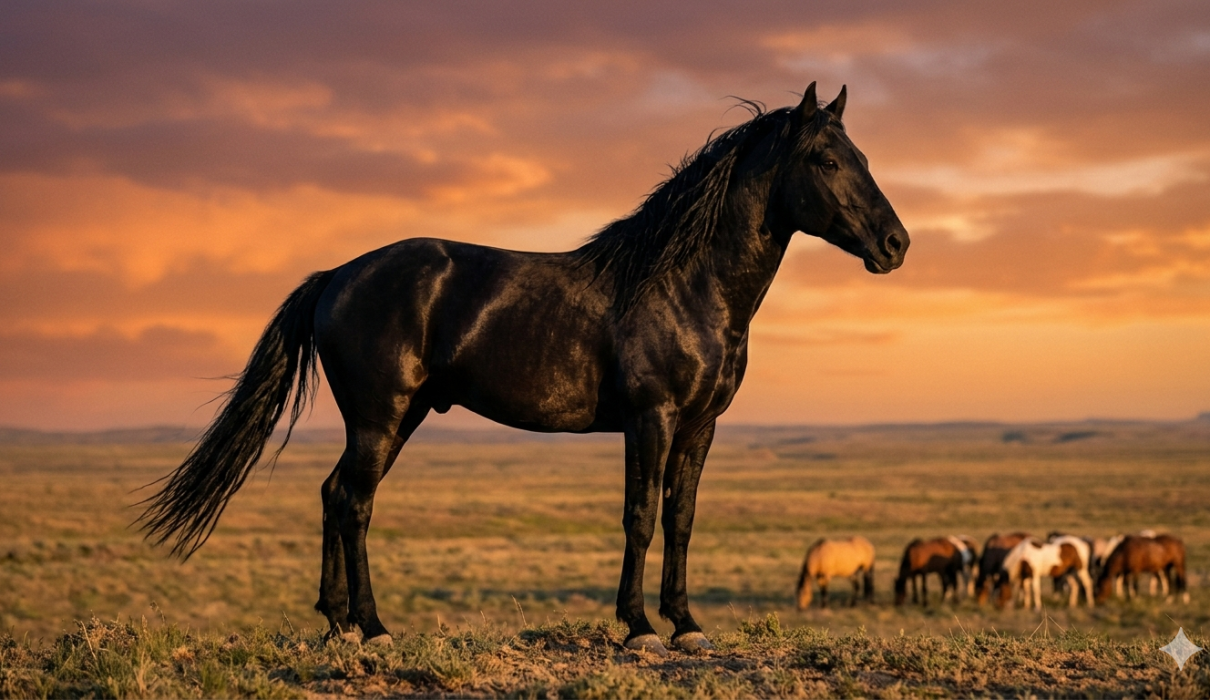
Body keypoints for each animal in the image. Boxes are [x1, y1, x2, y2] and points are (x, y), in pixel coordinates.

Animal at [136, 83, 910, 656]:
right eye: (827, 160)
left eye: (863, 155)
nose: (896, 244)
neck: (684, 284)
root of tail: (337, 276)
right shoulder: (650, 419)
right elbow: (639, 516)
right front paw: (638, 627)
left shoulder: (700, 426)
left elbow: (681, 518)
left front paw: (687, 625)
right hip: (381, 415)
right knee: (353, 501)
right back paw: (376, 628)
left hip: (399, 416)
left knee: (334, 494)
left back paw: (339, 624)